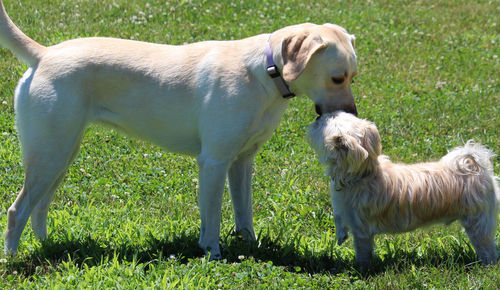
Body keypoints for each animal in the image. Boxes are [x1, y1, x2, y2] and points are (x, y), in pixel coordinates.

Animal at [306, 111, 498, 268]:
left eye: (327, 120)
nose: (317, 116)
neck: (363, 174)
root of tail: (475, 166)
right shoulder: (343, 208)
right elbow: (338, 217)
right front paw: (340, 235)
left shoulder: (361, 230)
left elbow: (363, 251)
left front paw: (361, 268)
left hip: (477, 223)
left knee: (488, 248)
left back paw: (487, 267)